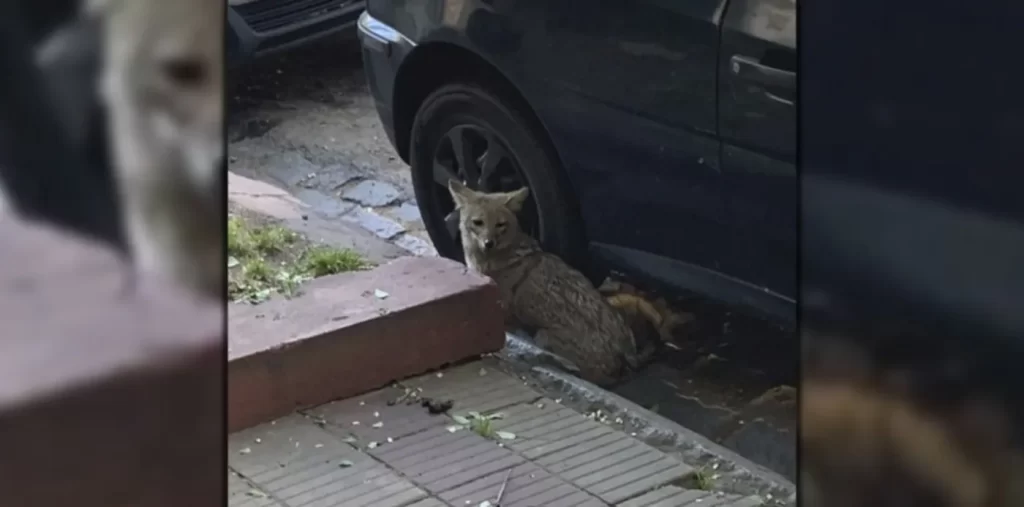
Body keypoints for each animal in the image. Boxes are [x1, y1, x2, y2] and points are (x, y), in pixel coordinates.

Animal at [449, 180, 662, 386]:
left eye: (500, 225)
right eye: (478, 222)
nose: (488, 243)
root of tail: (624, 353)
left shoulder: (504, 316)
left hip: (542, 336)